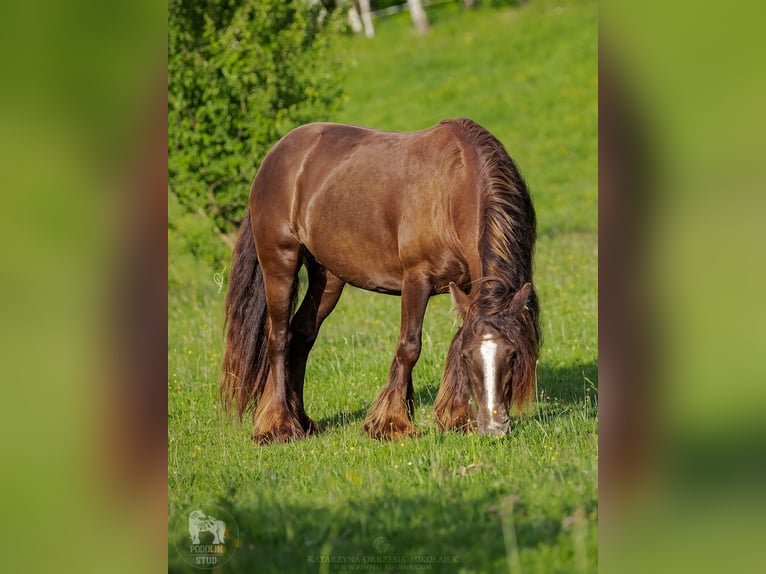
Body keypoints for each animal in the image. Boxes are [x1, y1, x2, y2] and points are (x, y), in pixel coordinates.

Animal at [220, 118, 540, 446]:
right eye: (470, 356)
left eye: (512, 354)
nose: (494, 426)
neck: (453, 188)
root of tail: (275, 154)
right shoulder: (417, 278)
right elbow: (409, 347)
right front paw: (392, 424)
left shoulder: (466, 288)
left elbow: (455, 337)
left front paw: (455, 418)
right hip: (279, 263)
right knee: (279, 337)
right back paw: (279, 425)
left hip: (328, 278)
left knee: (302, 334)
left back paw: (301, 420)